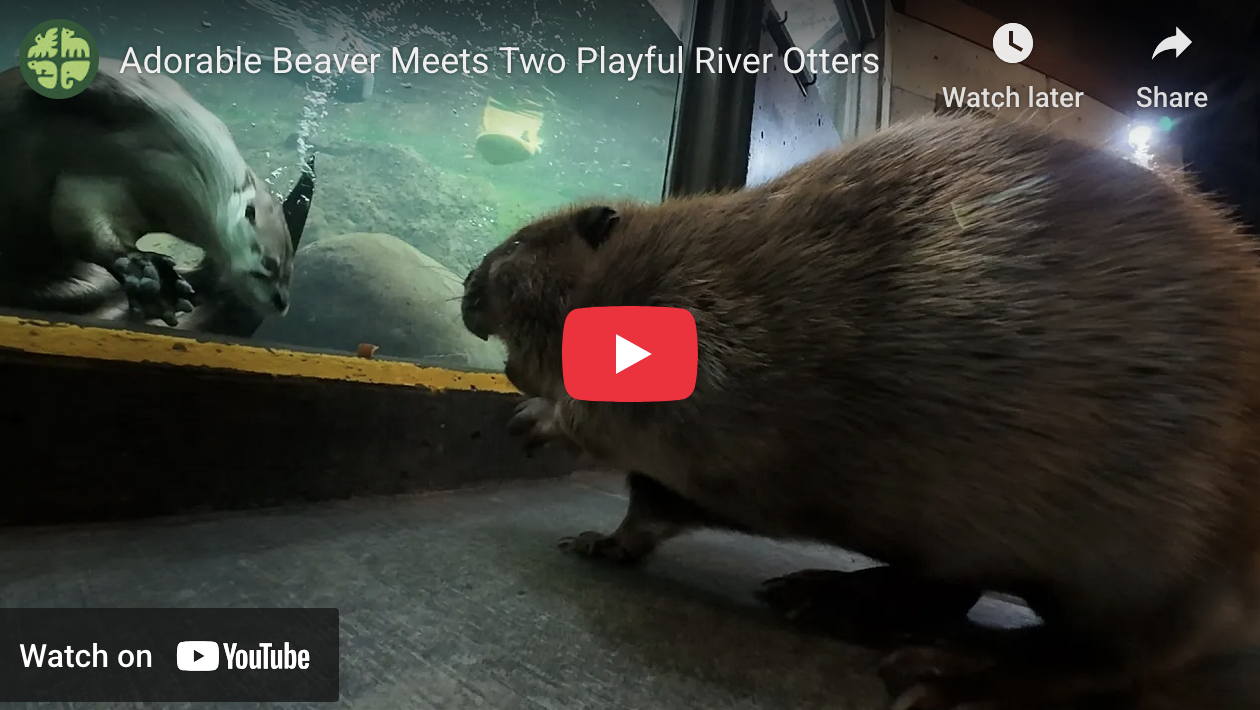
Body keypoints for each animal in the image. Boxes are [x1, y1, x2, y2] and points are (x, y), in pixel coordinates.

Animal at [0, 58, 313, 327]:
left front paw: (155, 282)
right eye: (270, 264)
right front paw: (151, 276)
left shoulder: (101, 192)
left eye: (290, 272)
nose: (282, 302)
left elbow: (82, 229)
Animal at [460, 114, 1260, 710]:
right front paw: (598, 539)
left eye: (523, 241)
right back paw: (819, 596)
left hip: (1153, 551)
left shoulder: (710, 324)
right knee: (952, 589)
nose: (469, 280)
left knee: (1126, 651)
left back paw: (939, 672)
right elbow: (654, 500)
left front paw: (537, 419)